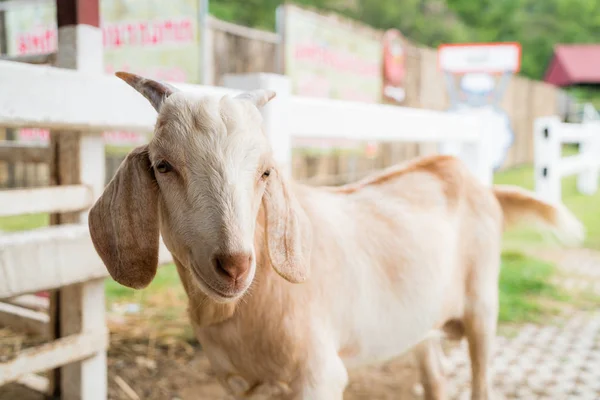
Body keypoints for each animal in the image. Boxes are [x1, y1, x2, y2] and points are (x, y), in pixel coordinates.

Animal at [90, 72, 584, 400]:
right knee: (436, 378)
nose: (234, 265)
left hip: (484, 307)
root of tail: (467, 176)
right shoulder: (237, 383)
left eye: (265, 171)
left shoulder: (320, 377)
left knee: (481, 378)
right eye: (163, 166)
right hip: (422, 322)